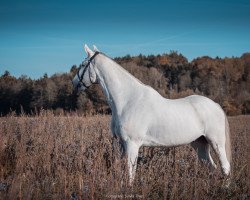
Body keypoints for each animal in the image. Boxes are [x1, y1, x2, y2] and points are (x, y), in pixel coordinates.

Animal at [72, 44, 230, 184]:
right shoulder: (121, 144)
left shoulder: (132, 144)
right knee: (212, 167)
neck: (128, 100)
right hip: (200, 143)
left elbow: (130, 174)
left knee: (225, 168)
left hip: (216, 143)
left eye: (83, 64)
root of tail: (215, 105)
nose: (74, 82)